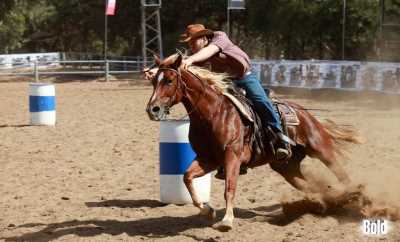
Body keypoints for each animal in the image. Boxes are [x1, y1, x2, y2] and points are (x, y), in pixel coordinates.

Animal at [145, 53, 360, 231]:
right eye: (154, 81)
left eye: (169, 80)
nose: (152, 109)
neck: (214, 114)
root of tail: (304, 113)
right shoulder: (208, 159)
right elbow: (187, 177)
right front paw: (207, 210)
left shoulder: (232, 156)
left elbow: (229, 188)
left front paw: (226, 220)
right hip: (286, 166)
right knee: (309, 185)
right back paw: (321, 202)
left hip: (320, 149)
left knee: (341, 173)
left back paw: (354, 196)